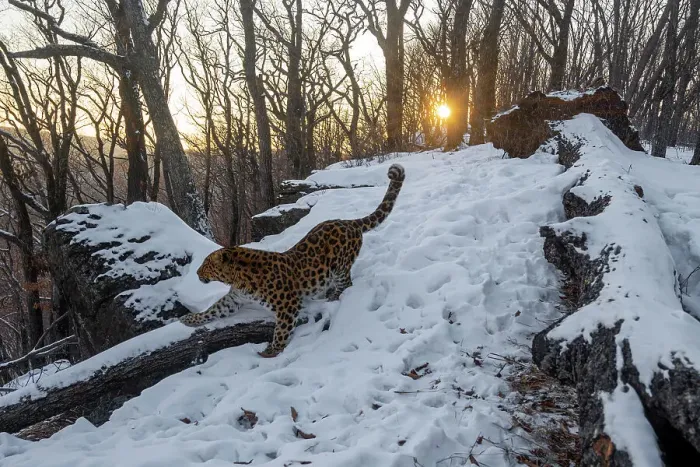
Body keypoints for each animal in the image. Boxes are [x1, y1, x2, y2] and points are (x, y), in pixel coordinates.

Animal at [179, 163, 405, 358]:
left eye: (206, 264)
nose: (197, 273)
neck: (237, 278)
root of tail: (348, 222)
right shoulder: (234, 299)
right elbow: (213, 310)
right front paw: (189, 319)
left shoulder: (287, 305)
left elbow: (281, 330)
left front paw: (271, 351)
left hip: (340, 268)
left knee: (346, 284)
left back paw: (334, 296)